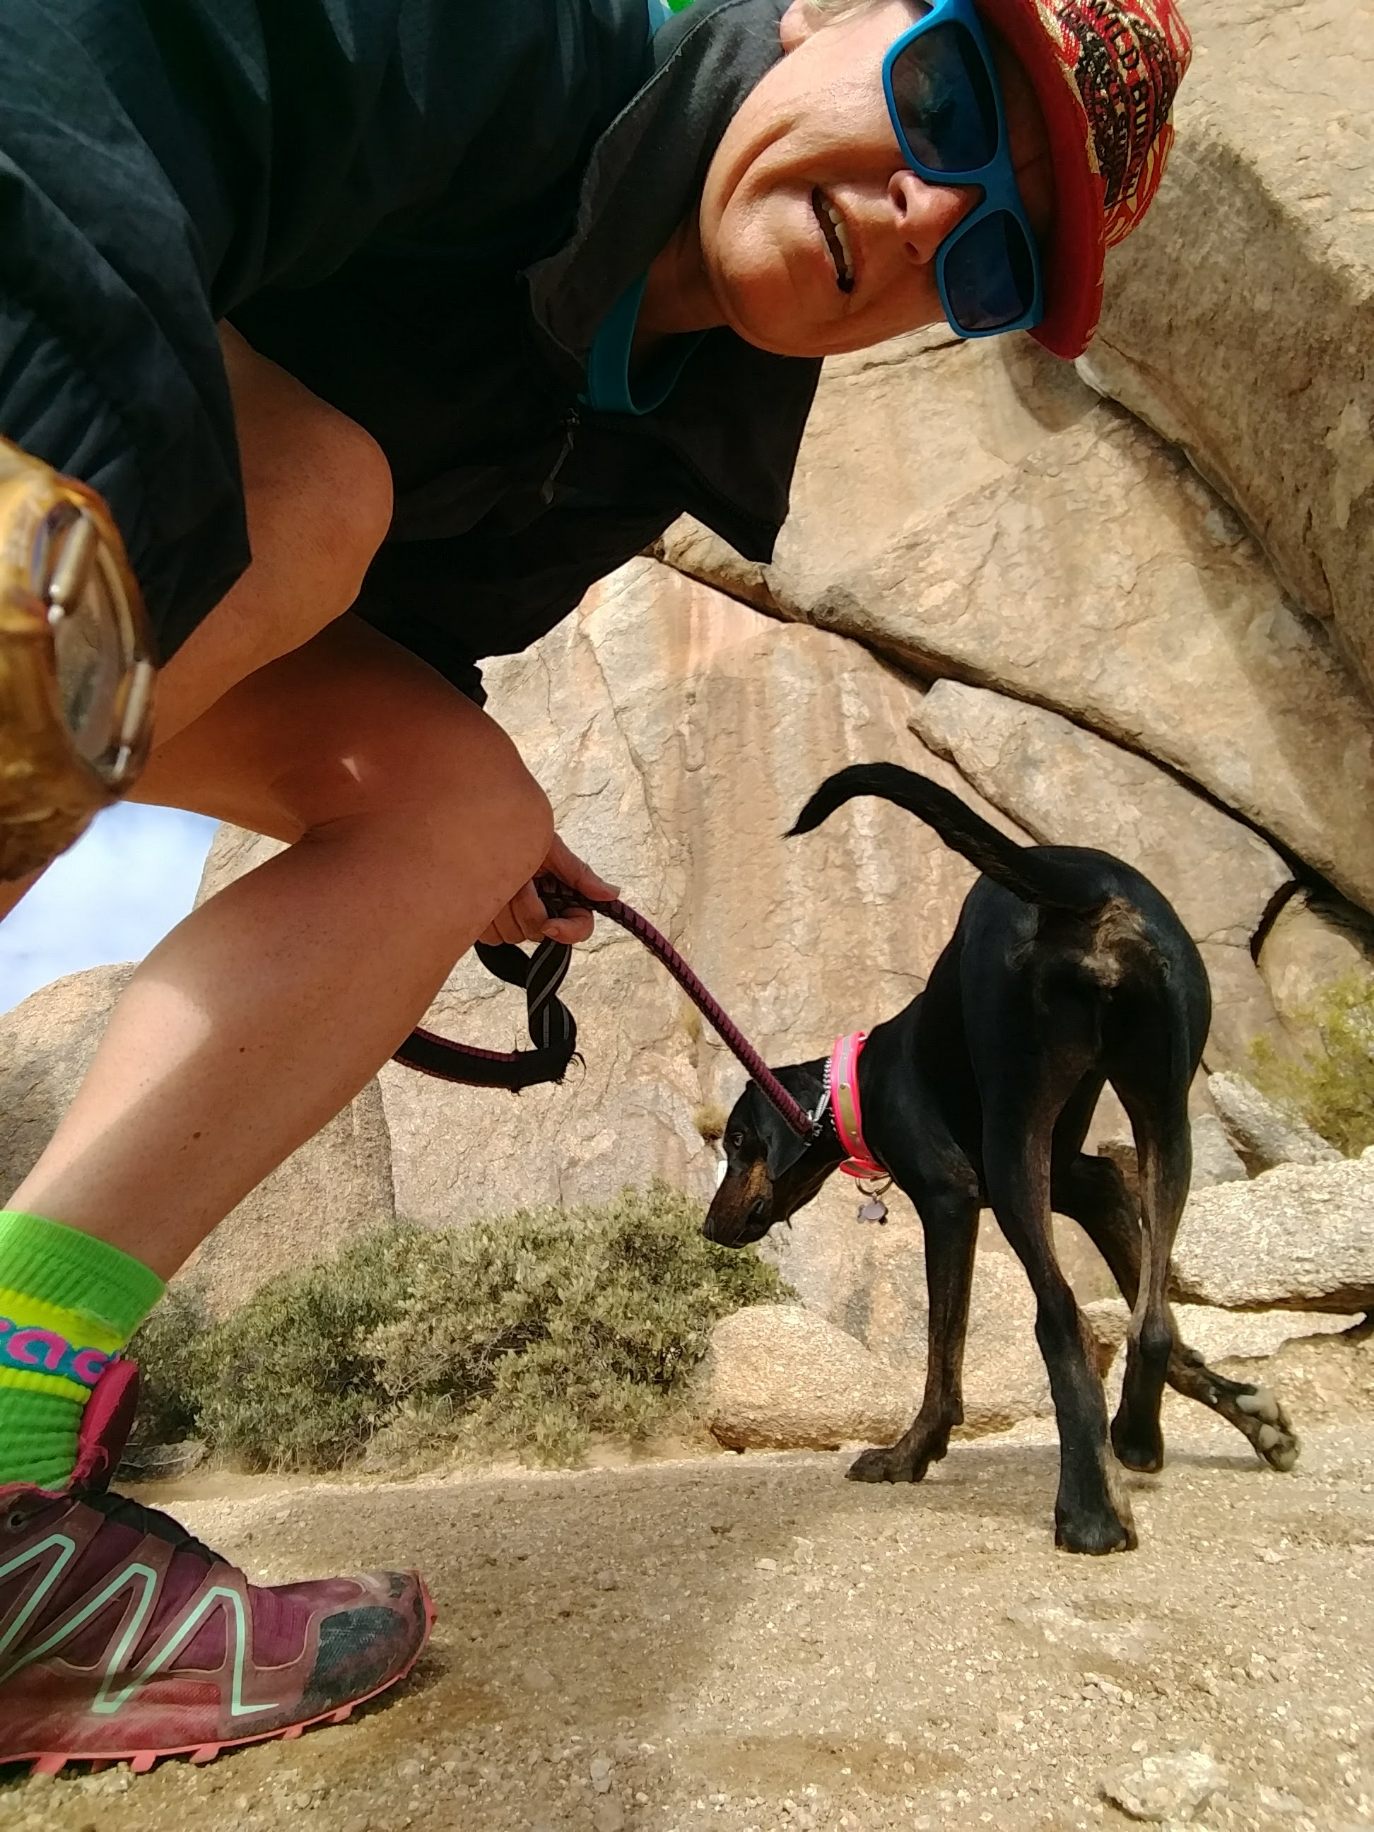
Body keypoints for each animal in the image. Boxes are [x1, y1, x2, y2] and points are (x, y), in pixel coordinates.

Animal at [710, 765, 1304, 1553]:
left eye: (736, 1142)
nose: (708, 1226)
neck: (862, 1082)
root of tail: (1083, 886)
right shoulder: (1092, 1183)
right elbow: (1164, 1323)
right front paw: (1251, 1417)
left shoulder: (950, 1200)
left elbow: (944, 1351)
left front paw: (909, 1455)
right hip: (1163, 1114)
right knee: (1148, 1323)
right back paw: (1134, 1436)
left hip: (1016, 1134)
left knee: (1059, 1316)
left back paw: (1088, 1511)